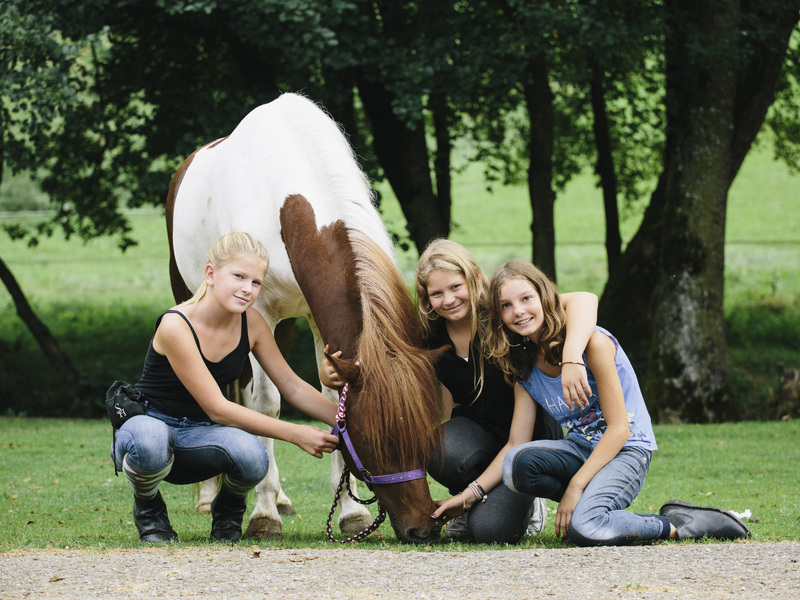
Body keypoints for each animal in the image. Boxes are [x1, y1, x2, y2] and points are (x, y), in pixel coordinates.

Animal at [162, 90, 444, 544]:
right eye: (372, 440)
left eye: (425, 431)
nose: (425, 527)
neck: (286, 197)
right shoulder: (256, 312)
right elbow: (265, 405)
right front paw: (262, 517)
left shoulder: (314, 318)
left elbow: (328, 398)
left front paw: (350, 513)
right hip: (193, 301)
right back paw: (213, 496)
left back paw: (279, 497)